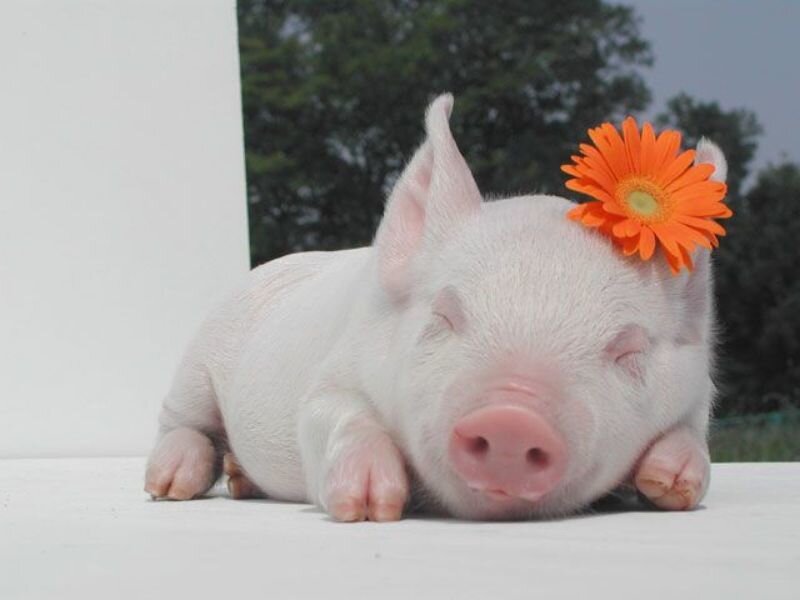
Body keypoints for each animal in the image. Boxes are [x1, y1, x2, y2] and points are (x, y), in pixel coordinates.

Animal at [145, 94, 722, 521]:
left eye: (628, 350)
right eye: (445, 316)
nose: (512, 420)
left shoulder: (697, 399)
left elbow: (692, 441)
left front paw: (668, 483)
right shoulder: (330, 378)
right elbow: (337, 416)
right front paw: (370, 506)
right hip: (197, 363)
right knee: (182, 421)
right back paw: (169, 484)